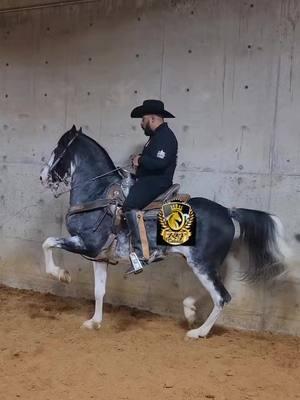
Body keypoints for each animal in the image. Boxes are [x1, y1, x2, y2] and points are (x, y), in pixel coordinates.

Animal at [39, 126, 290, 340]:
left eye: (58, 149)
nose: (42, 176)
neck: (98, 195)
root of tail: (228, 212)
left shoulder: (87, 244)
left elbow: (48, 242)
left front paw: (60, 274)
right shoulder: (99, 256)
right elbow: (99, 290)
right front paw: (94, 322)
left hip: (202, 263)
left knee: (221, 297)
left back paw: (198, 332)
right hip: (204, 263)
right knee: (216, 290)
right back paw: (189, 309)